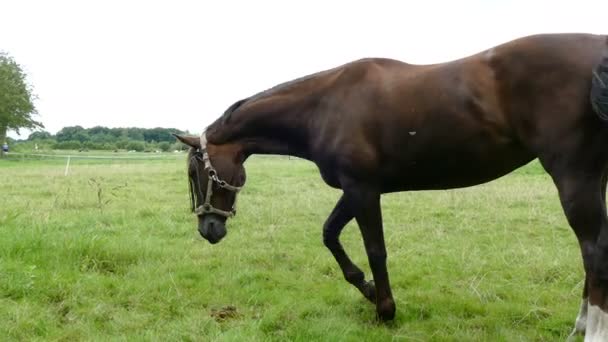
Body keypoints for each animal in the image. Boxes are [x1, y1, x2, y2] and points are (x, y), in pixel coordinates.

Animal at [175, 32, 608, 340]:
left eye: (197, 173)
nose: (208, 228)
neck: (324, 107)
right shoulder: (355, 190)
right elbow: (330, 234)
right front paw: (367, 289)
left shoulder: (363, 190)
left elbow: (376, 250)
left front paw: (385, 310)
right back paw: (579, 326)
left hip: (573, 176)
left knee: (593, 251)